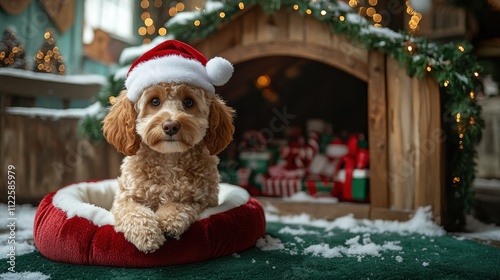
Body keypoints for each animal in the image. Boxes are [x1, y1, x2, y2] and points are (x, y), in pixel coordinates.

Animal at [102, 40, 235, 254]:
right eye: (154, 101)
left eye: (188, 102)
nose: (171, 125)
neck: (169, 160)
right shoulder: (124, 199)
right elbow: (133, 212)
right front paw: (147, 234)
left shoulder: (204, 200)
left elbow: (182, 204)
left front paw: (167, 220)